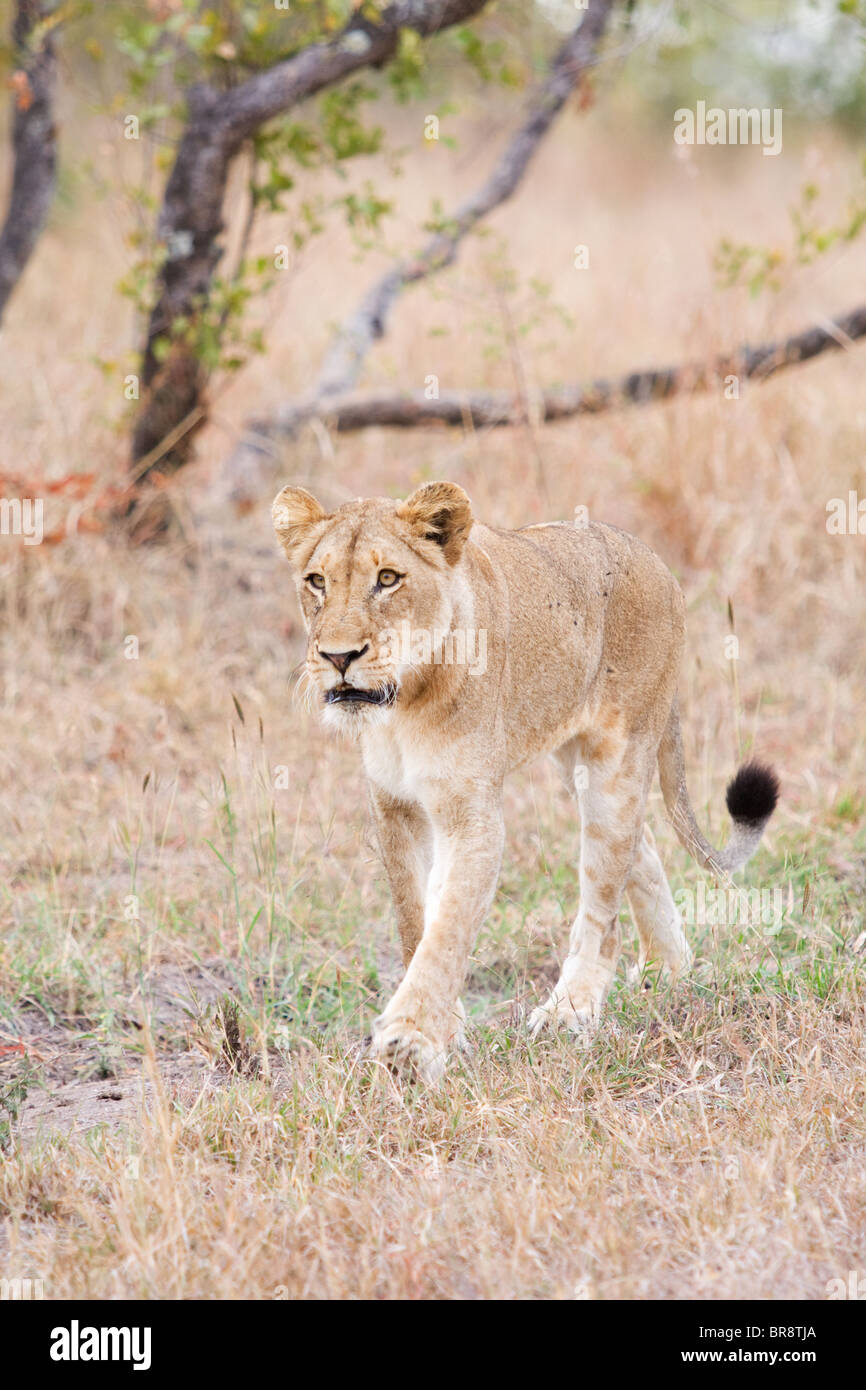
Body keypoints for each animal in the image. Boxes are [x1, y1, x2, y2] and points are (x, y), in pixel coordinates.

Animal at [272, 480, 778, 1082]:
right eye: (316, 581)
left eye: (388, 579)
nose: (338, 657)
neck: (404, 704)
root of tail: (653, 559)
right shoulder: (393, 806)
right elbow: (417, 921)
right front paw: (447, 1031)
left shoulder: (472, 814)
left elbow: (448, 928)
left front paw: (410, 1040)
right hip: (574, 762)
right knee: (643, 846)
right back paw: (671, 970)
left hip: (617, 762)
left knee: (606, 898)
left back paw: (571, 1011)